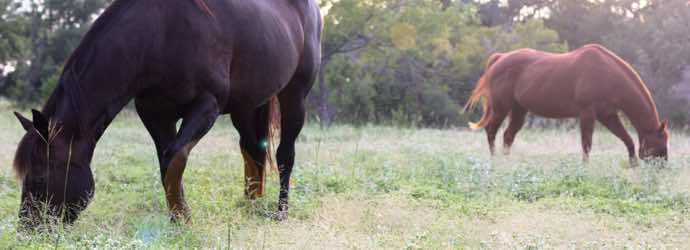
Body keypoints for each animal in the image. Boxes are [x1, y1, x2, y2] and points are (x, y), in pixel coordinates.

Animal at [10, 0, 322, 229]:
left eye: (39, 178)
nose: (27, 229)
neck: (159, 33)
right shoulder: (156, 114)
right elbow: (166, 163)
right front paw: (178, 218)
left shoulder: (207, 105)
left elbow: (175, 158)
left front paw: (183, 220)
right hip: (246, 106)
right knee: (252, 149)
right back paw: (250, 205)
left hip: (294, 95)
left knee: (284, 154)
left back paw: (280, 211)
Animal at [462, 44, 668, 163]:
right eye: (661, 141)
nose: (663, 166)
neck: (606, 74)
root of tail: (500, 58)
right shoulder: (587, 114)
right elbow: (587, 144)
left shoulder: (607, 115)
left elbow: (628, 141)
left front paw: (633, 167)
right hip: (501, 108)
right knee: (491, 131)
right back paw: (495, 161)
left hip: (519, 110)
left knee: (507, 136)